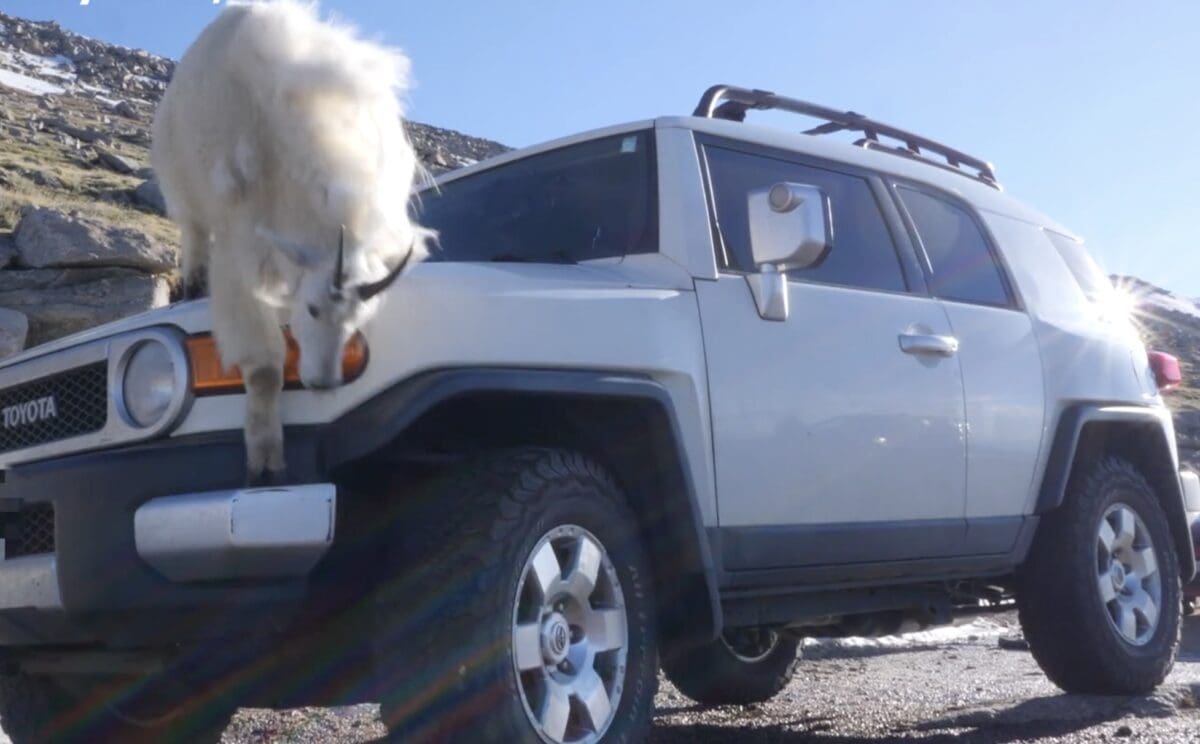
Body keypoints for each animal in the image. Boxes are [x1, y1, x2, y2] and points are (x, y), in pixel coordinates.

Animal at [152, 0, 427, 482]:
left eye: (360, 317)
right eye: (313, 309)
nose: (323, 383)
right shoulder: (239, 251)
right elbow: (263, 368)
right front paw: (265, 459)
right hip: (183, 186)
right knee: (194, 232)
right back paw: (192, 284)